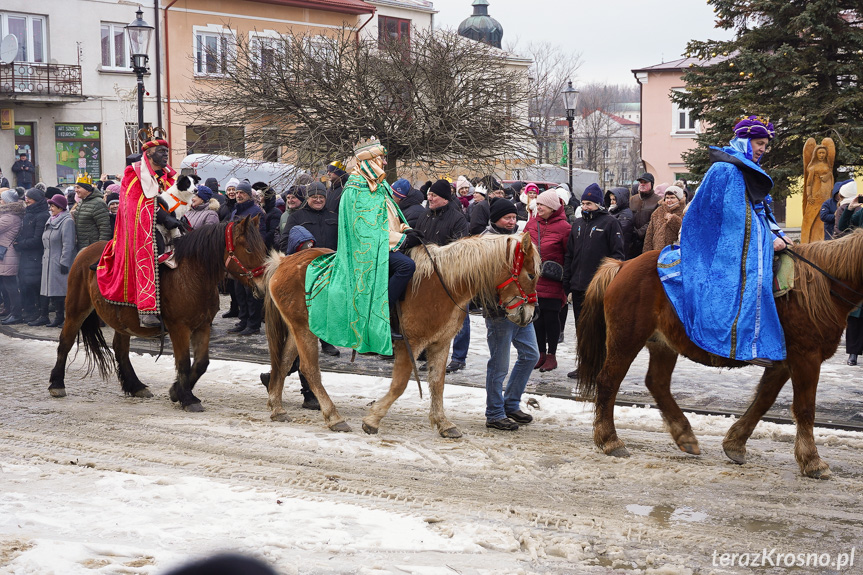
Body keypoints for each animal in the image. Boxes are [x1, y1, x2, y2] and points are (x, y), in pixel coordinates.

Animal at [49, 218, 264, 412]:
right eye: (249, 249)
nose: (262, 286)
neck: (192, 276)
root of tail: (86, 250)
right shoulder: (179, 328)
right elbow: (184, 362)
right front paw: (187, 398)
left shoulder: (202, 326)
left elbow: (202, 363)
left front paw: (177, 392)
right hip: (76, 309)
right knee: (66, 341)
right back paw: (57, 384)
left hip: (122, 322)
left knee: (120, 350)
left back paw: (136, 386)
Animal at [264, 233, 540, 436]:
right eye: (531, 274)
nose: (529, 316)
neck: (443, 284)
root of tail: (284, 262)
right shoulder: (411, 345)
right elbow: (399, 385)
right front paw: (373, 419)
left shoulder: (440, 344)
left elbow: (437, 383)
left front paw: (443, 423)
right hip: (304, 330)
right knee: (309, 370)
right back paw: (334, 417)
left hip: (298, 329)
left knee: (284, 363)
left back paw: (277, 408)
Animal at [576, 231, 863, 482]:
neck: (821, 285)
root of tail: (623, 265)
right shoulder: (806, 356)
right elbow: (804, 409)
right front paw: (813, 461)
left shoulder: (782, 363)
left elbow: (763, 400)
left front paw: (735, 443)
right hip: (626, 340)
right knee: (608, 382)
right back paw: (610, 440)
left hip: (663, 344)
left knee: (656, 383)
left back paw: (684, 435)